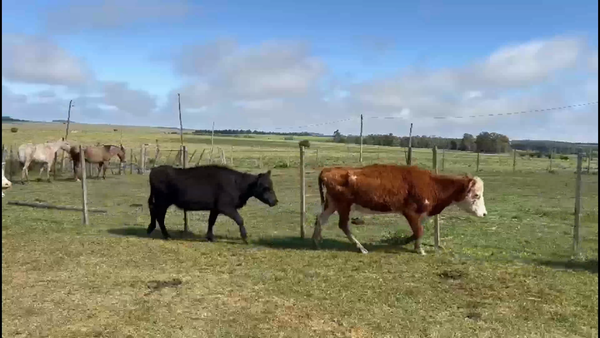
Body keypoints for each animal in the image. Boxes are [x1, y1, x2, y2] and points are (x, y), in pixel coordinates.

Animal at [145, 164, 278, 242]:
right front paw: (245, 237)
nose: (275, 201)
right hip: (163, 202)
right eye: (266, 187)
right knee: (159, 215)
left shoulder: (215, 209)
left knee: (154, 211)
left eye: (271, 185)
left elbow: (211, 222)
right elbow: (240, 220)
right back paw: (166, 235)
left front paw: (210, 237)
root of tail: (154, 170)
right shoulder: (226, 207)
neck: (237, 184)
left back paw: (151, 229)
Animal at [314, 163, 488, 254]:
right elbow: (419, 231)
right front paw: (420, 250)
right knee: (343, 225)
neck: (431, 184)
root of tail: (330, 170)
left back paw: (317, 240)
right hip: (344, 205)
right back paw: (361, 247)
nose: (484, 213)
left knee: (320, 218)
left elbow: (418, 231)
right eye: (477, 195)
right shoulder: (410, 212)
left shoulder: (421, 214)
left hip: (332, 204)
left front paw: (412, 244)